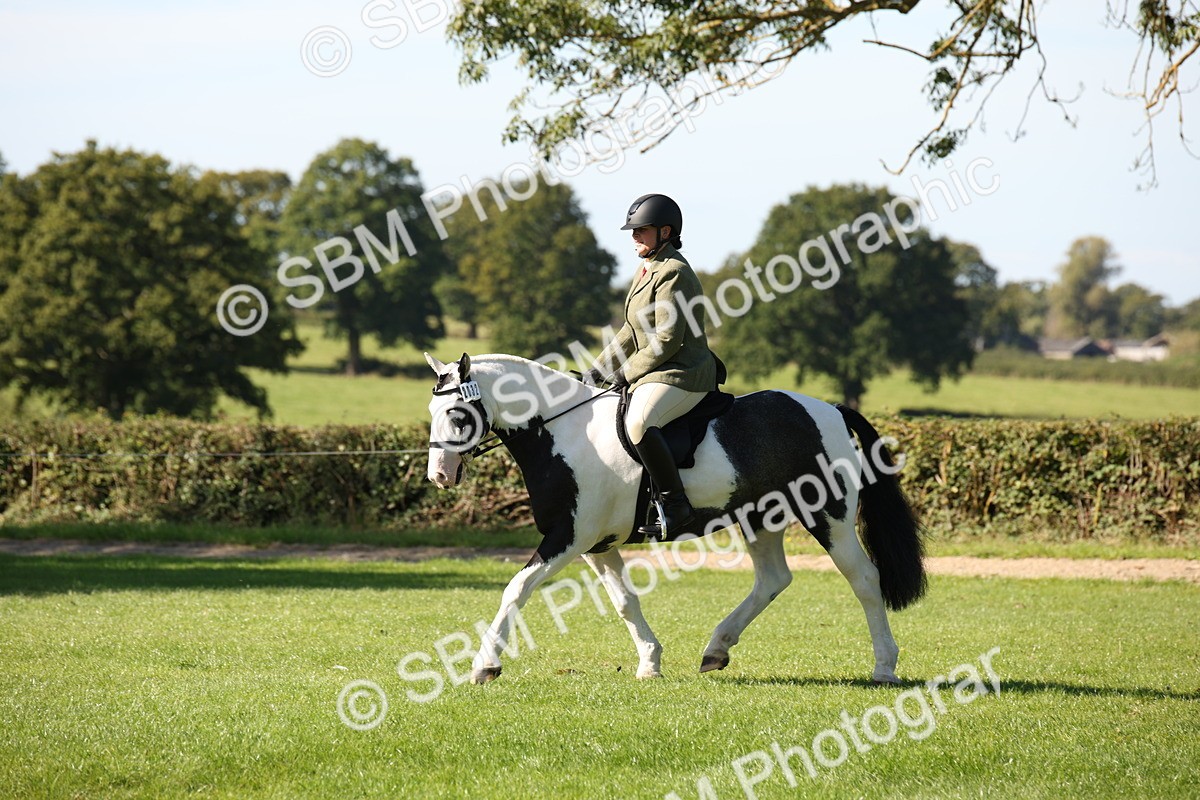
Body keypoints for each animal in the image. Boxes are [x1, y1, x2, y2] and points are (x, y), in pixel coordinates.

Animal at [424, 352, 926, 685]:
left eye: (456, 413)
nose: (439, 475)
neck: (564, 431)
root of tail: (829, 410)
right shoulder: (596, 546)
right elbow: (625, 602)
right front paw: (650, 663)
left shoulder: (568, 538)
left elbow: (516, 589)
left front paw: (485, 665)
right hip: (761, 517)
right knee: (773, 579)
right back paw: (715, 650)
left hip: (828, 515)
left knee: (864, 579)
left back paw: (884, 667)